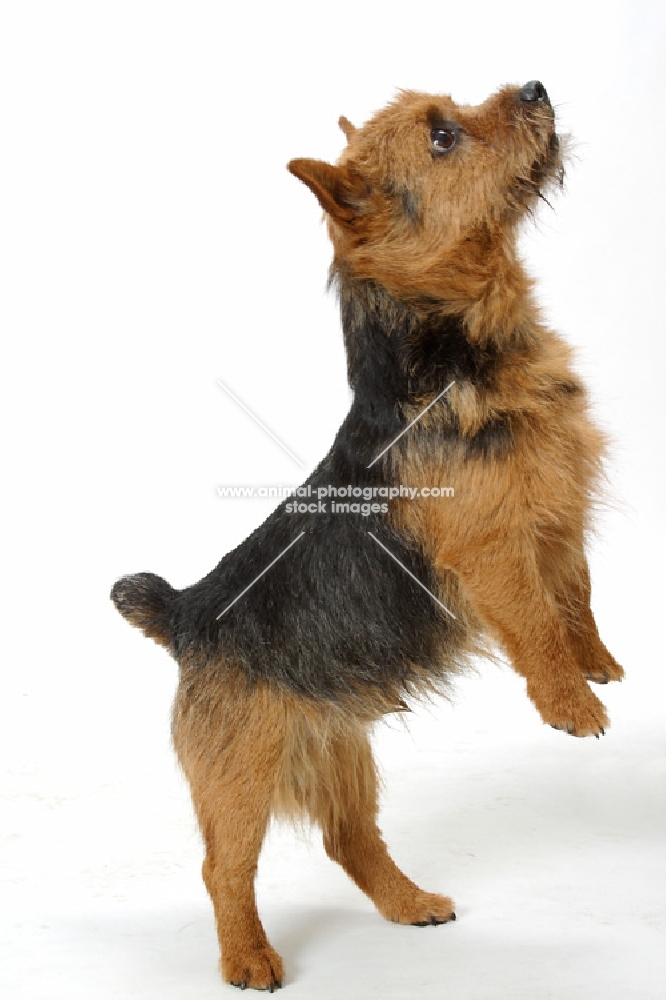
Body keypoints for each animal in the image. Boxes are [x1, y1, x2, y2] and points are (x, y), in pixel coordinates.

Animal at [110, 82, 624, 988]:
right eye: (444, 137)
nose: (536, 88)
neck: (463, 352)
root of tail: (186, 613)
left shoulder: (558, 509)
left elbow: (576, 590)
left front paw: (597, 661)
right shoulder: (494, 550)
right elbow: (534, 619)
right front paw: (571, 703)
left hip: (343, 752)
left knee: (349, 838)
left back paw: (409, 903)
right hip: (239, 778)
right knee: (223, 866)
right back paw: (249, 958)